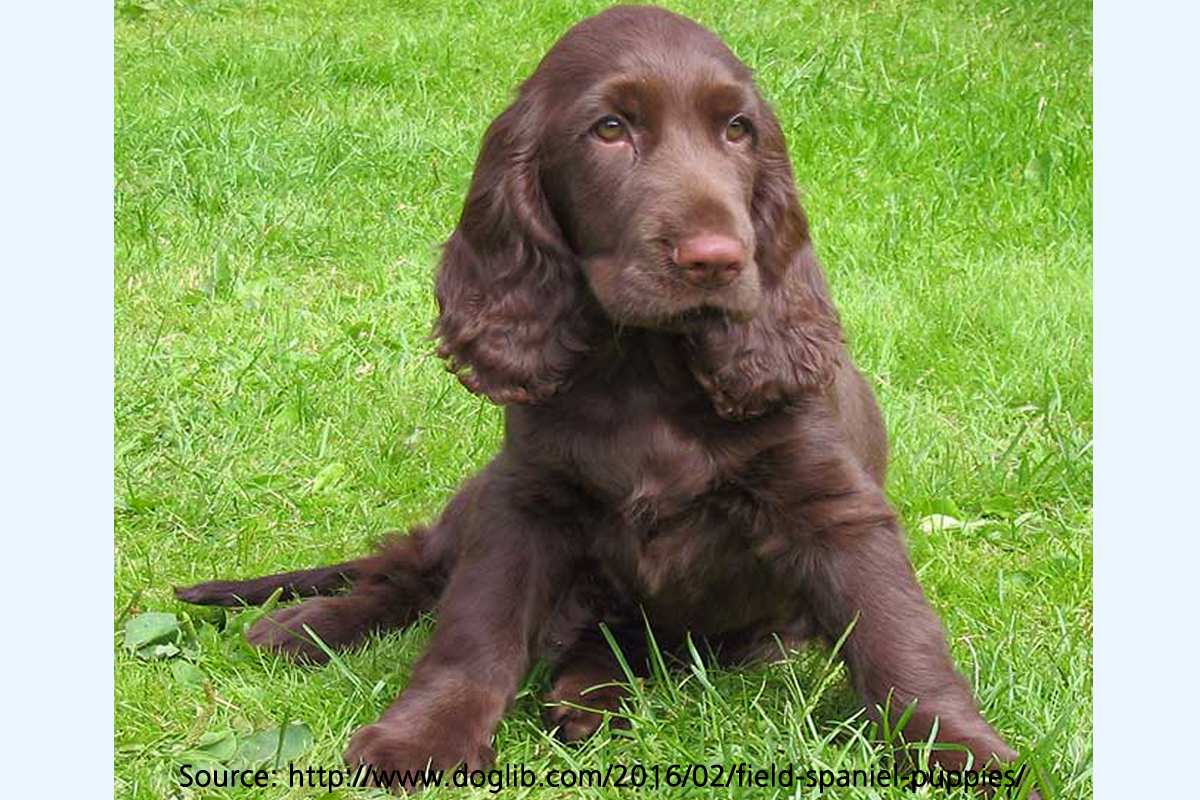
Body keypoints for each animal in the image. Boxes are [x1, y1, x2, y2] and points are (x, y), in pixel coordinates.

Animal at [177, 4, 1032, 796]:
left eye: (738, 131)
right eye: (611, 129)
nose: (718, 259)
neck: (646, 368)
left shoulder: (833, 506)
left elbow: (898, 632)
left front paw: (959, 748)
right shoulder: (524, 497)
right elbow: (472, 628)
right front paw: (424, 734)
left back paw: (587, 696)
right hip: (480, 495)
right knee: (412, 570)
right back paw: (311, 625)